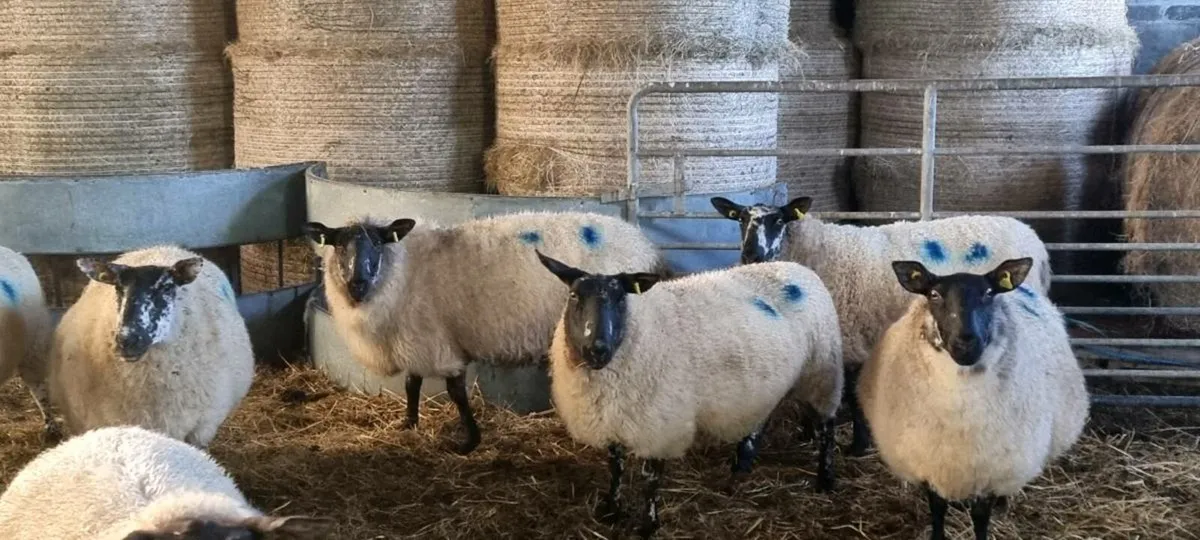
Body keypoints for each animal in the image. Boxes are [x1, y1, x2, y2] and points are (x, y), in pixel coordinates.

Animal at [303, 211, 667, 454]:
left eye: (378, 244)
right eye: (339, 246)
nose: (358, 283)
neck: (403, 270)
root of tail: (644, 244)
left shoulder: (437, 344)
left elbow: (455, 393)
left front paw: (469, 442)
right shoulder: (416, 339)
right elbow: (411, 384)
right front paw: (409, 423)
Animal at [536, 252, 844, 537]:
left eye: (621, 299)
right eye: (573, 295)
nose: (598, 349)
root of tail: (798, 268)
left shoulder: (660, 424)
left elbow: (650, 480)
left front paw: (648, 525)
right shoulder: (613, 418)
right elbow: (615, 468)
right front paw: (611, 510)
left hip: (821, 374)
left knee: (827, 428)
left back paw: (825, 479)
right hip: (771, 382)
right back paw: (742, 464)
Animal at [710, 195, 1053, 456]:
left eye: (779, 221)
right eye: (740, 219)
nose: (751, 254)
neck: (816, 253)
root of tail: (1036, 241)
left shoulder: (847, 334)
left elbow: (851, 393)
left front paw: (857, 445)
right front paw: (807, 432)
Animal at [858, 257, 1088, 540]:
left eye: (989, 293)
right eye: (934, 295)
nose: (966, 343)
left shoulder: (989, 469)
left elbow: (980, 516)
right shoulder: (930, 462)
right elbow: (937, 507)